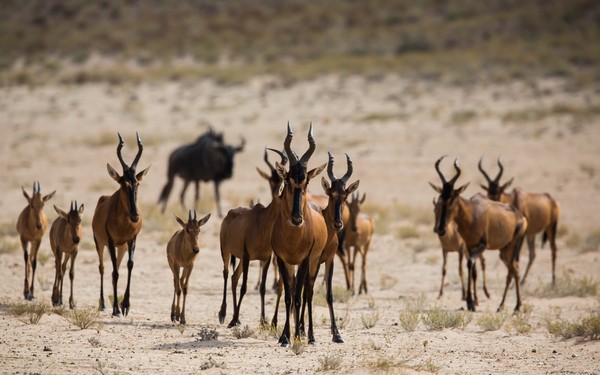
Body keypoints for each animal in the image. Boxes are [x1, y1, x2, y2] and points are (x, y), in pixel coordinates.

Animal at [94, 133, 151, 318]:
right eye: (123, 184)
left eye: (137, 183)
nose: (135, 216)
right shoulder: (111, 241)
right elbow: (114, 272)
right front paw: (117, 309)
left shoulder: (132, 240)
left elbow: (130, 266)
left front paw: (125, 305)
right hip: (100, 244)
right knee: (103, 268)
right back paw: (103, 304)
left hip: (122, 247)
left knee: (116, 268)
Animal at [270, 124, 328, 346]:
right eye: (287, 181)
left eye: (306, 183)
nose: (297, 219)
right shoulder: (282, 260)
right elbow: (288, 295)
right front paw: (285, 336)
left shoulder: (305, 259)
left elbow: (299, 297)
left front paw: (296, 335)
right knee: (296, 290)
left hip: (314, 262)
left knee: (307, 293)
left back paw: (308, 334)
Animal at [432, 157, 524, 312]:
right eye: (440, 198)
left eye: (452, 198)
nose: (441, 229)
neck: (472, 213)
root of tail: (519, 215)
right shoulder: (470, 247)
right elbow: (473, 270)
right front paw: (472, 302)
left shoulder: (482, 245)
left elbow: (469, 264)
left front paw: (470, 302)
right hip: (504, 248)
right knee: (513, 269)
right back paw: (503, 306)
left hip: (514, 245)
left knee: (514, 269)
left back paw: (515, 306)